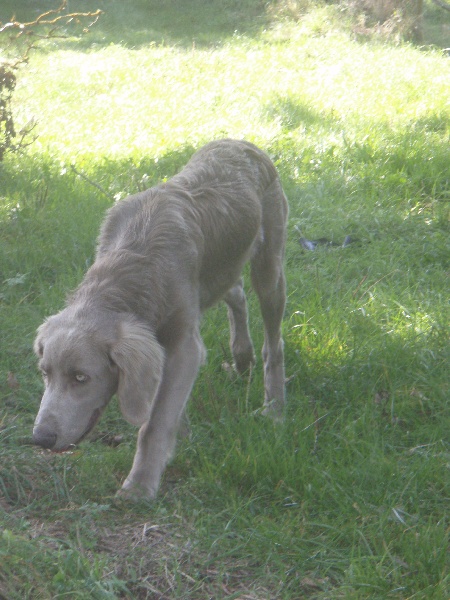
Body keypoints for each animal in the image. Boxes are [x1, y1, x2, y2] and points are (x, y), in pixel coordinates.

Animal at [34, 139, 288, 496]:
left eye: (81, 377)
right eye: (45, 373)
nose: (40, 438)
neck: (134, 265)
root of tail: (240, 143)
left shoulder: (185, 346)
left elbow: (155, 421)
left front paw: (139, 486)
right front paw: (181, 437)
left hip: (268, 268)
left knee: (273, 343)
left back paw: (274, 407)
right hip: (219, 272)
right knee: (236, 293)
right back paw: (241, 358)